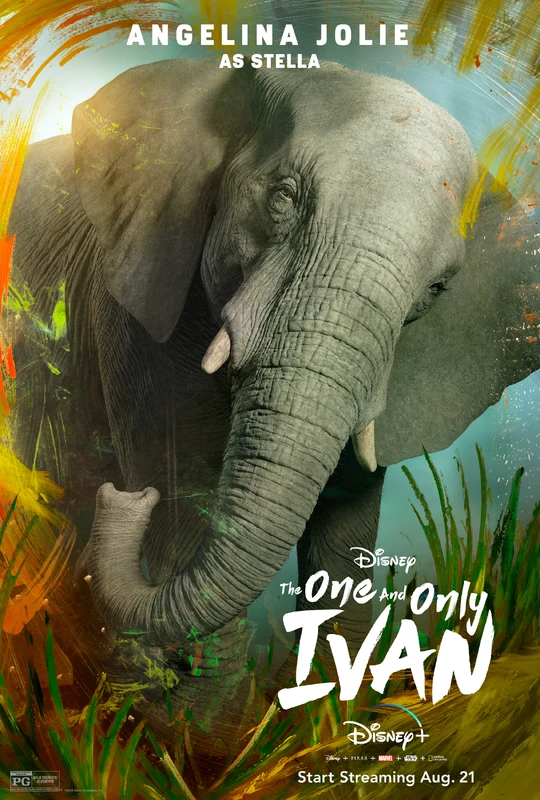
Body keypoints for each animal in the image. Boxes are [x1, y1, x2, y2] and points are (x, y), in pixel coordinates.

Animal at [9, 58, 539, 738]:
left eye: (439, 288)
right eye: (283, 198)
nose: (124, 498)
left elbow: (346, 525)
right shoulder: (135, 305)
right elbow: (184, 491)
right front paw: (203, 738)